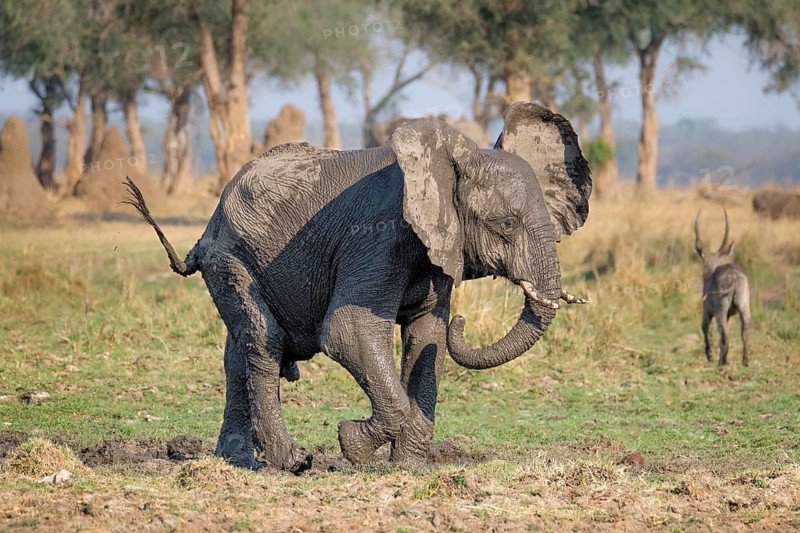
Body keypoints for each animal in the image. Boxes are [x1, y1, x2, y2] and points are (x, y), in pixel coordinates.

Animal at [124, 102, 592, 473]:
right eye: (507, 224)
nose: (464, 321)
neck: (451, 162)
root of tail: (209, 226)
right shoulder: (377, 238)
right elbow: (348, 331)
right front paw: (352, 443)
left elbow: (428, 337)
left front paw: (407, 466)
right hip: (231, 258)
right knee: (263, 341)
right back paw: (292, 462)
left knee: (237, 351)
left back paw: (237, 460)